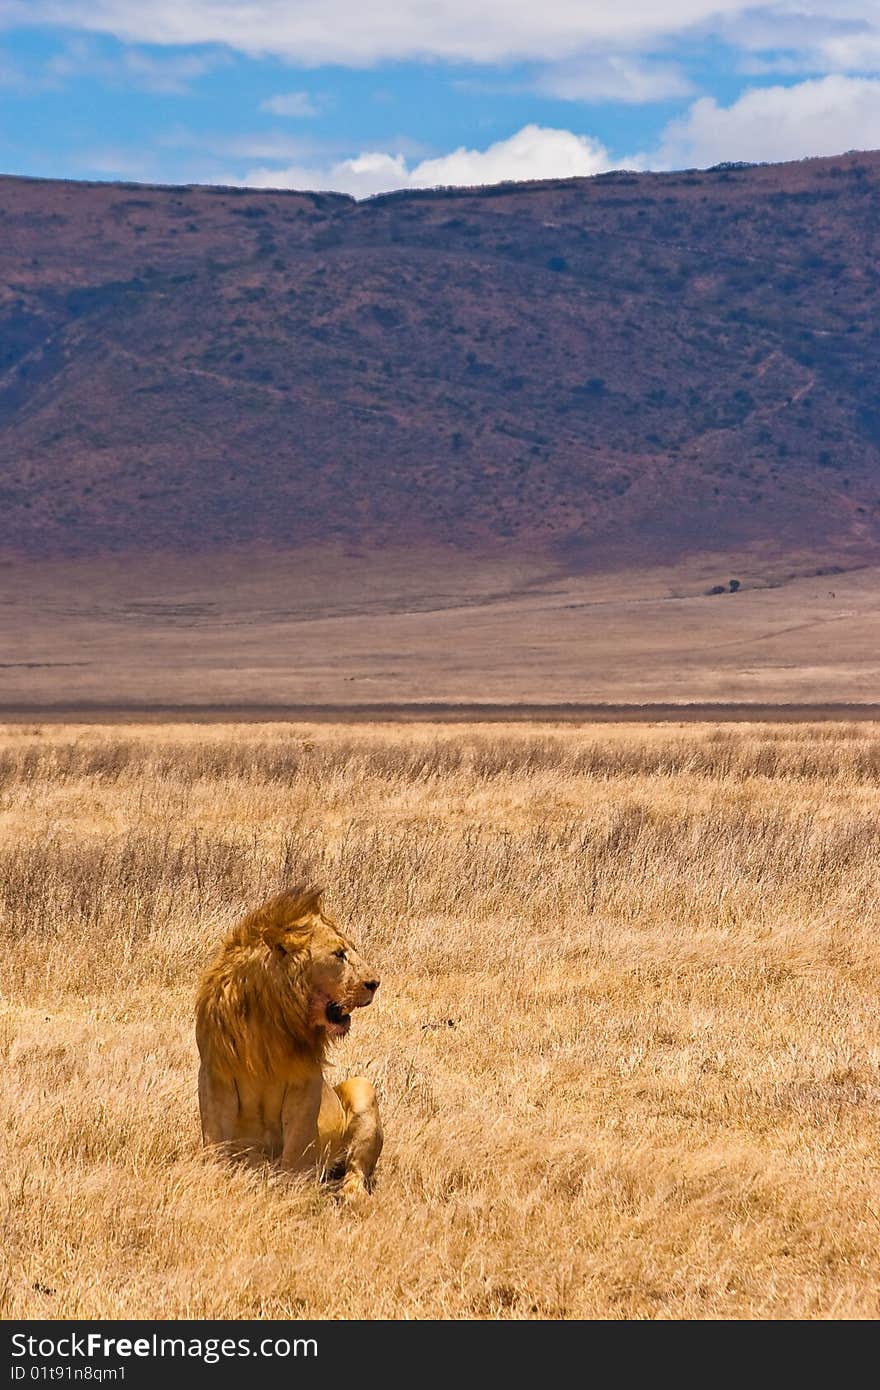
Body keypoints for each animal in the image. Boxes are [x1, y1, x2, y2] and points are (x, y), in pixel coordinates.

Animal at [196, 884, 380, 1200]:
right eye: (338, 954)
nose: (374, 983)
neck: (271, 1020)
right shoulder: (215, 1074)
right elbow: (215, 1139)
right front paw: (215, 1183)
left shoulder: (305, 1081)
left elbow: (296, 1148)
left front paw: (289, 1193)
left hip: (362, 1087)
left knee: (356, 1170)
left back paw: (350, 1196)